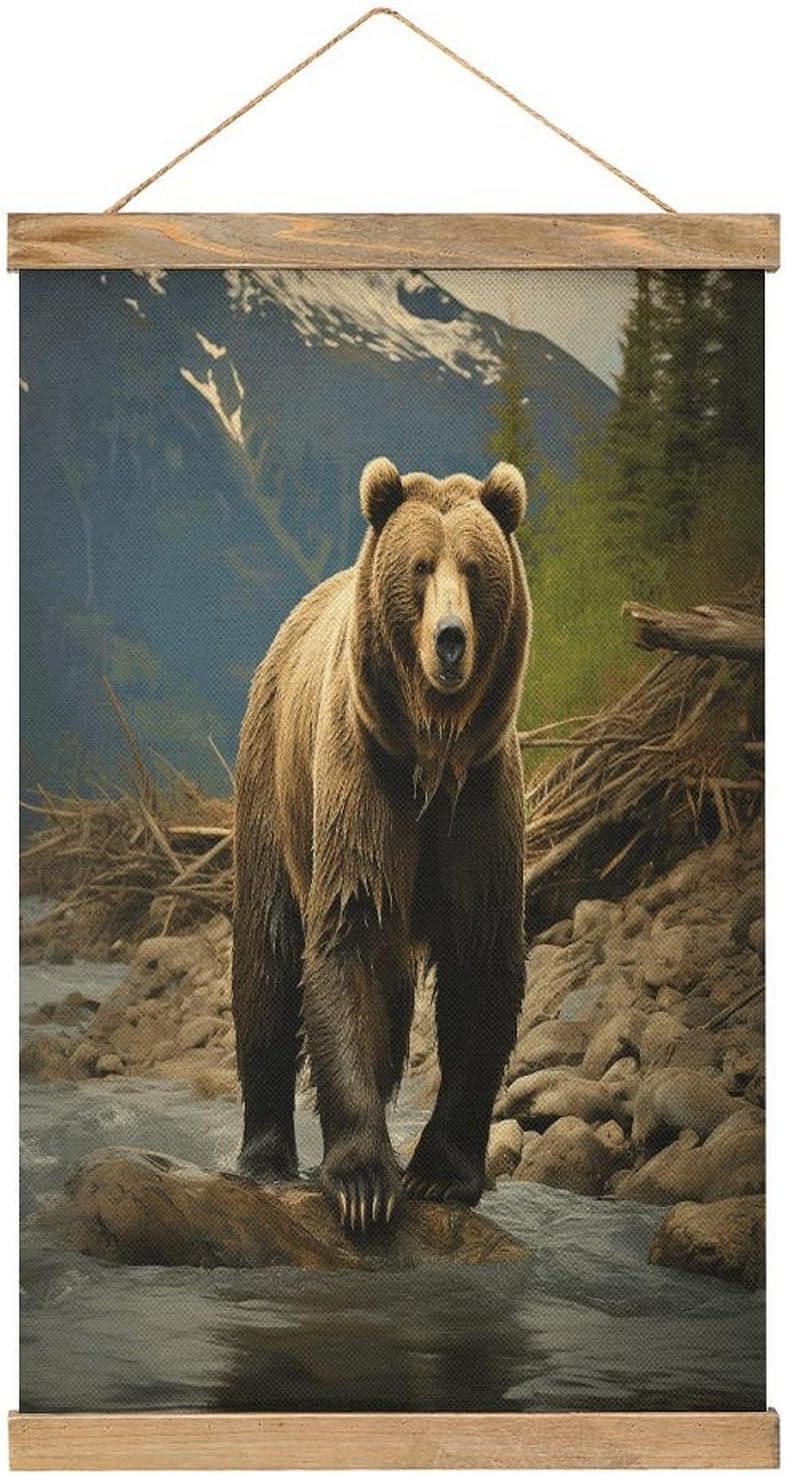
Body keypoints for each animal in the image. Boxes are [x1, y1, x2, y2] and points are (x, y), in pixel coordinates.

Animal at [232, 457, 531, 1233]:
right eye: (421, 566)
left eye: (475, 567)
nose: (450, 640)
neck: (431, 752)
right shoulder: (364, 777)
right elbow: (350, 938)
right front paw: (365, 1182)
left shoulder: (480, 801)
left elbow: (481, 964)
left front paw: (439, 1172)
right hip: (273, 790)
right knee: (266, 957)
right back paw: (265, 1152)